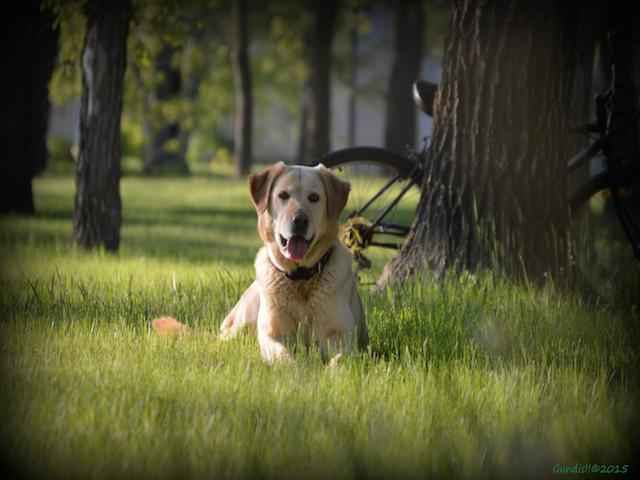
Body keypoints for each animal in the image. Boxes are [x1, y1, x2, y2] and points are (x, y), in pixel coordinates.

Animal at [220, 162, 368, 364]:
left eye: (314, 197)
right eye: (283, 195)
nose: (299, 221)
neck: (301, 278)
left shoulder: (341, 335)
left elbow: (341, 358)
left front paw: (333, 368)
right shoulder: (273, 334)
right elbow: (283, 356)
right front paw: (294, 367)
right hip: (241, 323)